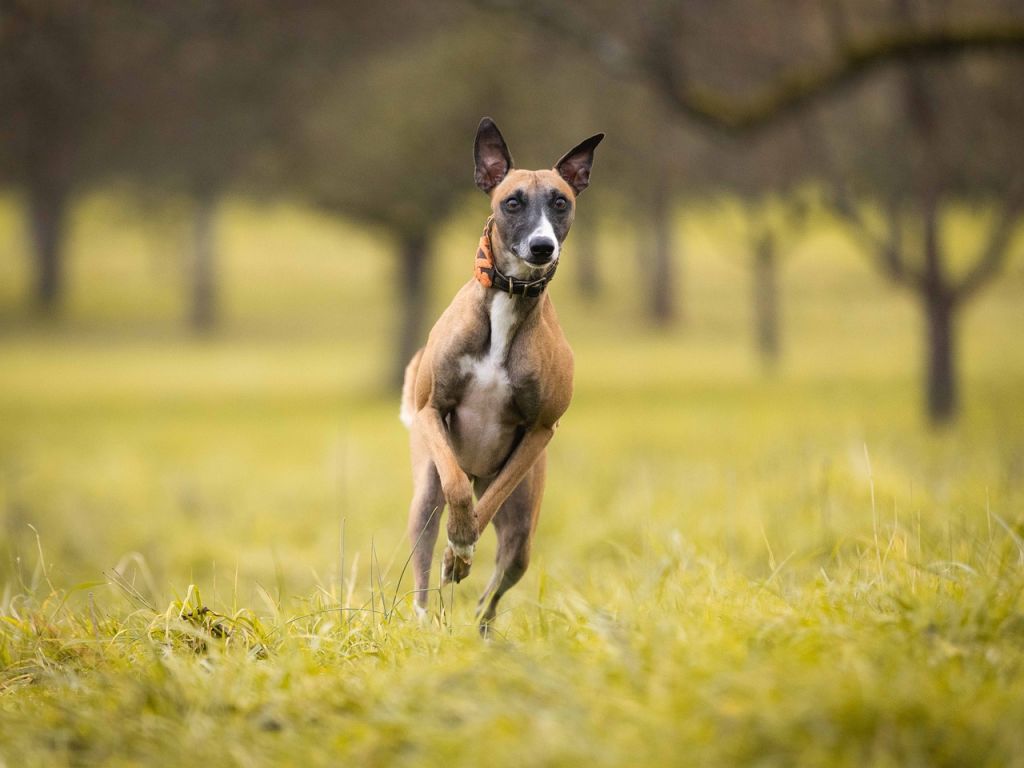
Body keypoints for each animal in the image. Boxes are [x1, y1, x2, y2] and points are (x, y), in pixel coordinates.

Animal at [399, 115, 602, 630]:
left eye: (561, 202)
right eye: (512, 202)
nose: (542, 246)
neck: (510, 299)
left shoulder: (540, 432)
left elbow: (487, 507)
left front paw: (462, 550)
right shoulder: (432, 410)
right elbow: (456, 487)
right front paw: (459, 539)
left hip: (523, 529)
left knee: (491, 593)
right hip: (423, 496)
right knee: (425, 556)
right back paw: (425, 614)